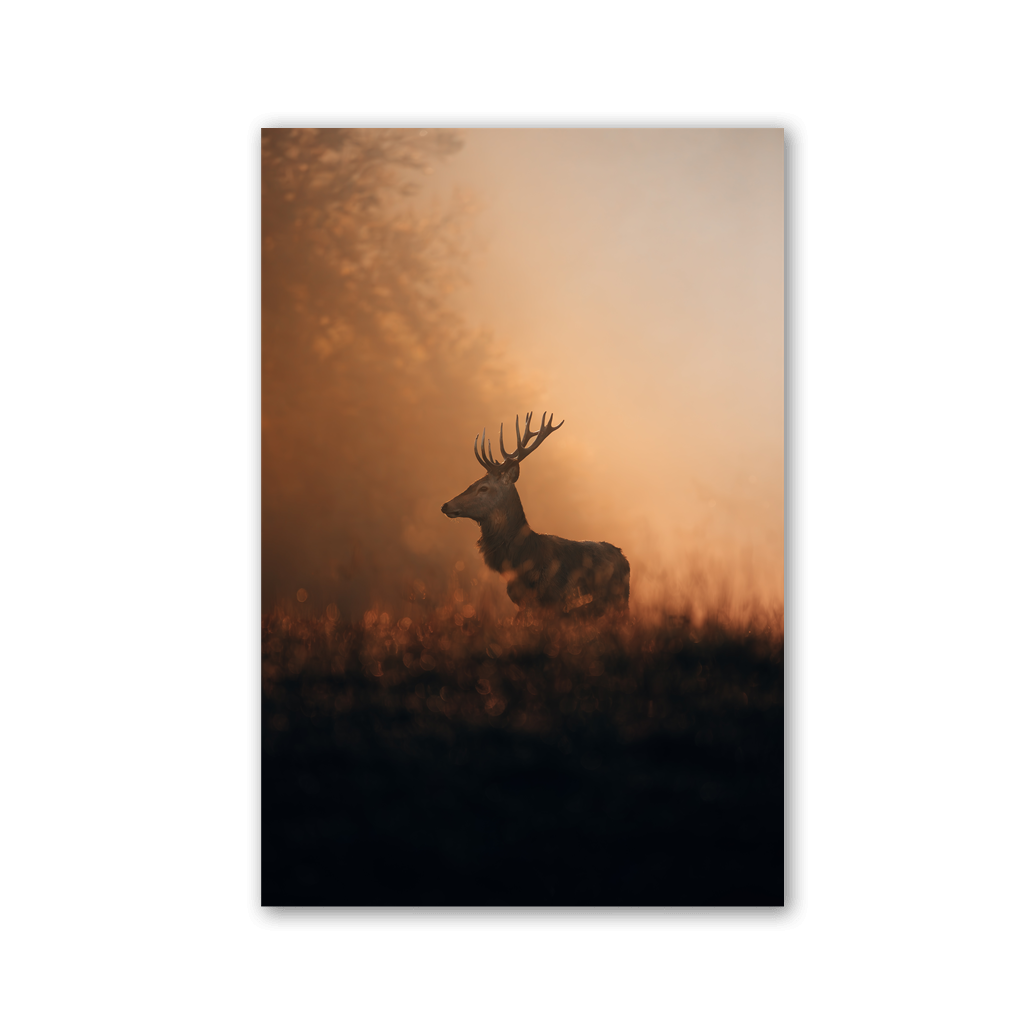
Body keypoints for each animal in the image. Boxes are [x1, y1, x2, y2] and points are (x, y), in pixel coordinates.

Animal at [441, 412, 629, 618]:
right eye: (473, 482)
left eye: (483, 488)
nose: (446, 505)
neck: (524, 559)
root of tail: (624, 557)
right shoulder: (522, 602)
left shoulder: (556, 599)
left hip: (619, 600)